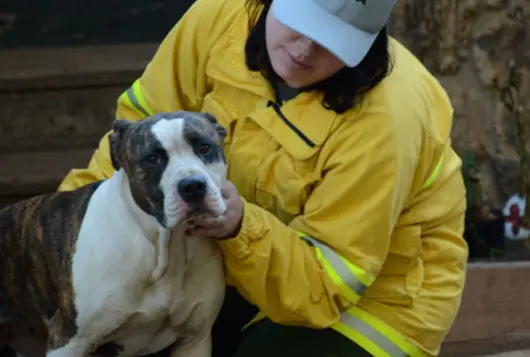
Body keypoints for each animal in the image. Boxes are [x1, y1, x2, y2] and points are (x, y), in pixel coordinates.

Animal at [0, 111, 228, 356]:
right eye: (152, 159)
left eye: (204, 148)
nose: (193, 186)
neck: (164, 247)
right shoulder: (68, 341)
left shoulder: (195, 340)